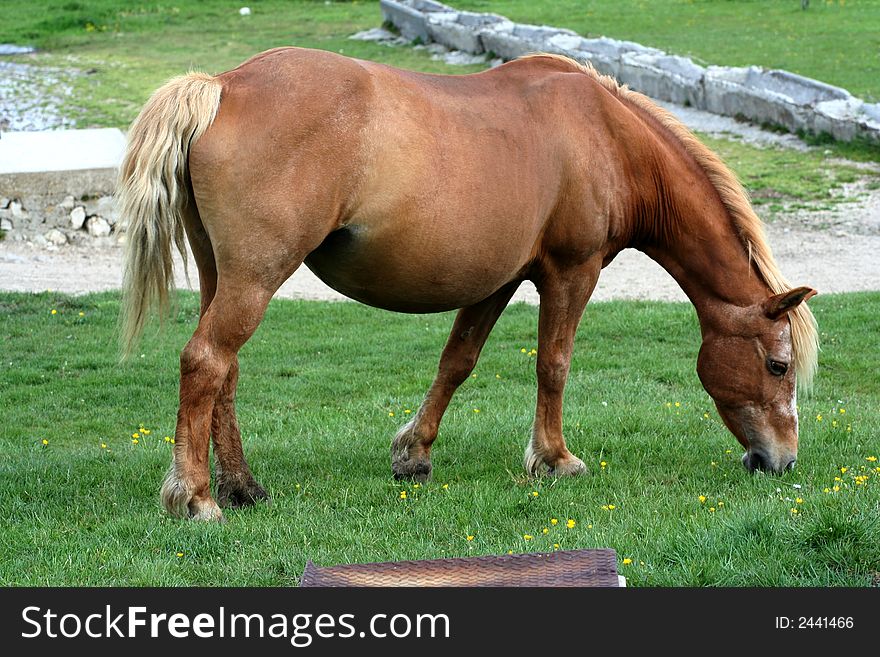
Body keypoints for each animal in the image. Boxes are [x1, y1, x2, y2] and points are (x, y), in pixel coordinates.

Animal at [115, 46, 820, 520]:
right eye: (779, 366)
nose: (783, 461)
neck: (609, 138)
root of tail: (224, 85)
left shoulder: (495, 282)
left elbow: (457, 362)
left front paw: (413, 453)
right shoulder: (572, 271)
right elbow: (553, 364)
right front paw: (553, 459)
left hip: (224, 276)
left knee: (224, 370)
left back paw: (241, 486)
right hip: (256, 277)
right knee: (206, 361)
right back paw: (195, 497)